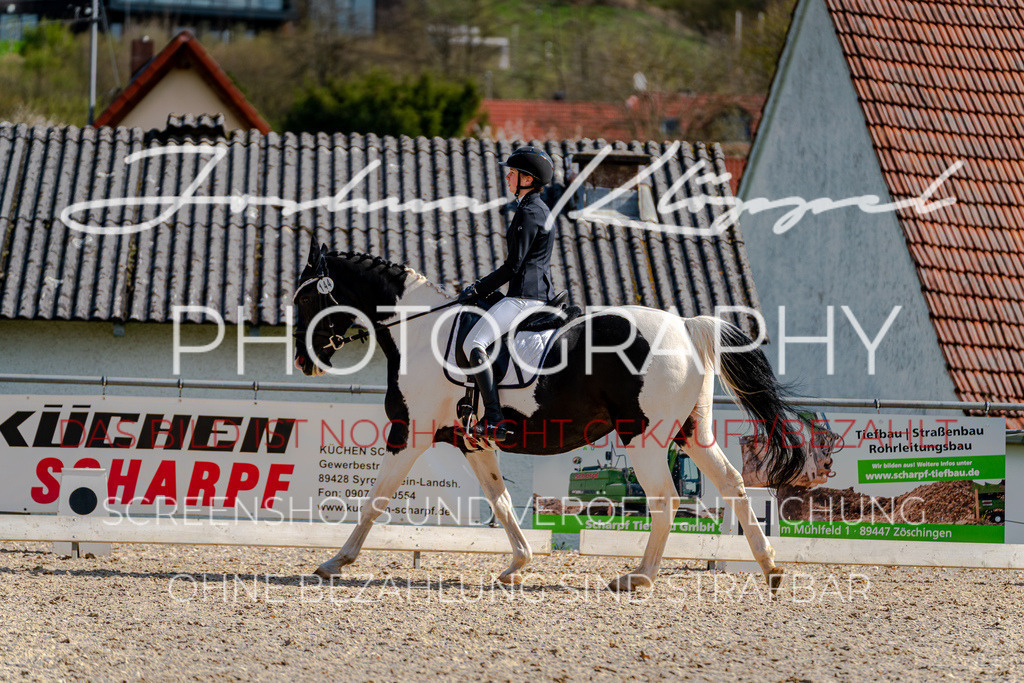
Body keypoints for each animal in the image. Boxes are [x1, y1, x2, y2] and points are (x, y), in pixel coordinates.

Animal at [292, 237, 811, 593]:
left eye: (304, 299)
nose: (302, 362)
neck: (419, 332)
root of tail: (686, 325)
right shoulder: (471, 441)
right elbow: (500, 501)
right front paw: (517, 565)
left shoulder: (410, 433)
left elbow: (375, 499)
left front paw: (336, 562)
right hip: (691, 431)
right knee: (732, 483)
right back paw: (770, 568)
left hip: (643, 436)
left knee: (664, 499)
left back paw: (639, 577)